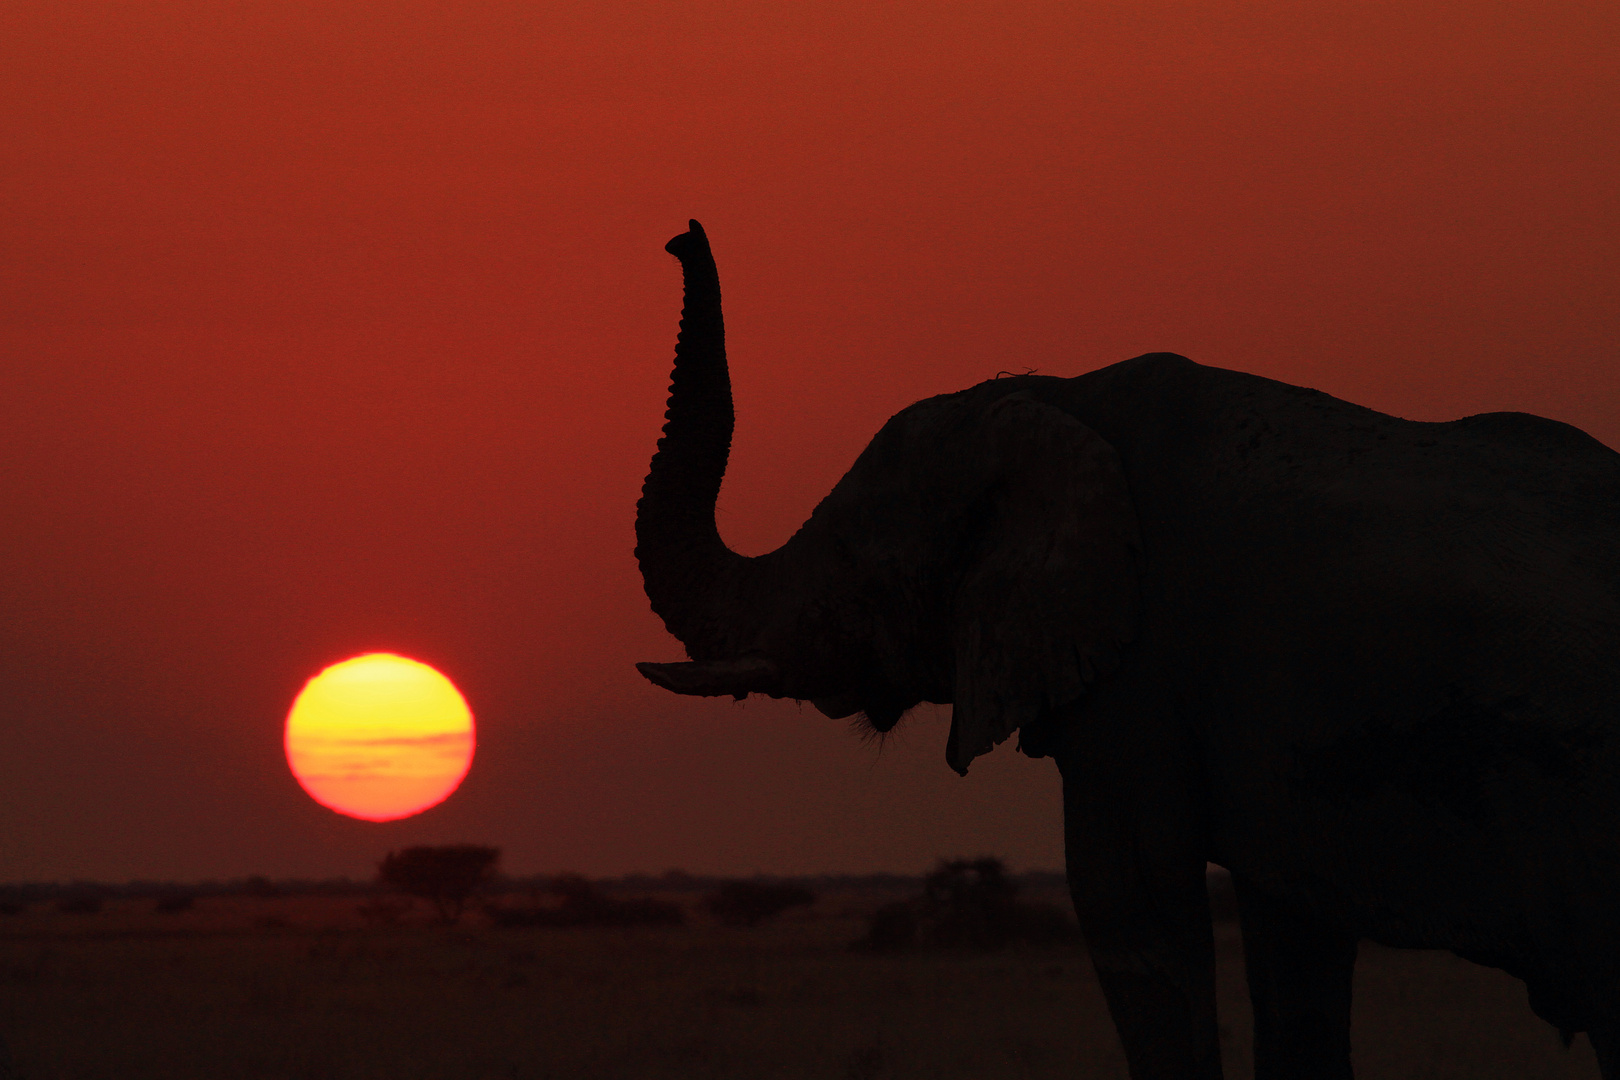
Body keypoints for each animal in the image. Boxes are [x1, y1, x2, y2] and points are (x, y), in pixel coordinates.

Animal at [628, 221, 1620, 1080]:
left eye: (853, 560)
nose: (679, 236)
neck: (1058, 399)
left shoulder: (1146, 671)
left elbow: (1128, 902)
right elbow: (1292, 939)